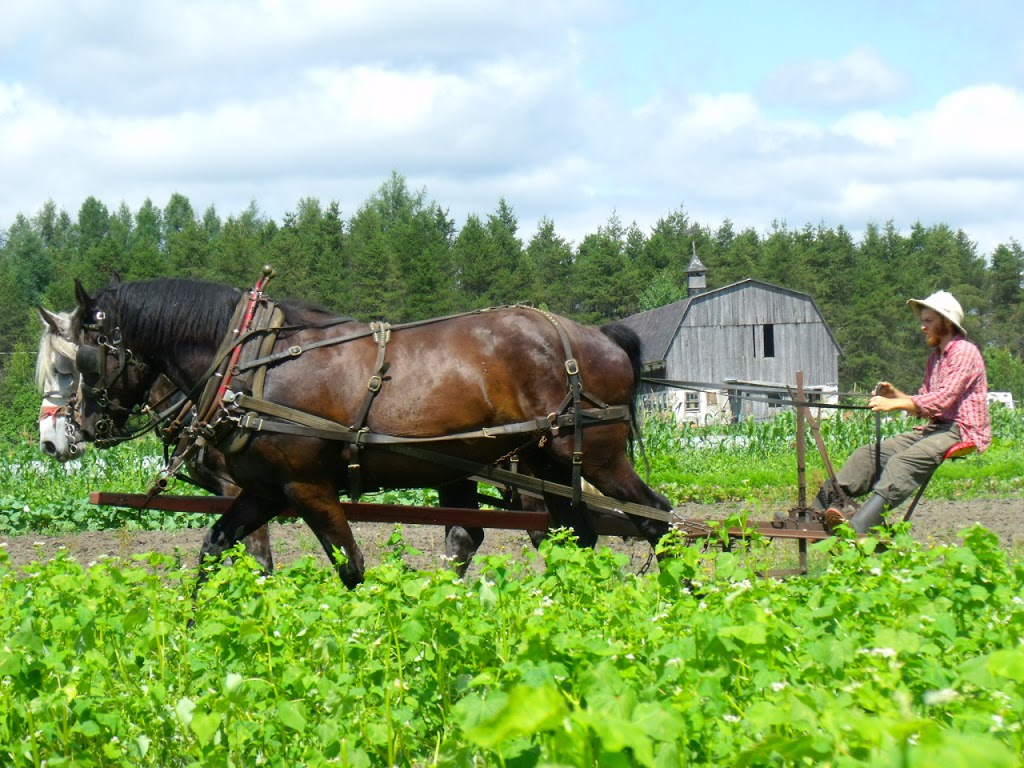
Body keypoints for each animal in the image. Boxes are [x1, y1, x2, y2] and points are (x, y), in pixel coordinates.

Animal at [70, 276, 663, 581]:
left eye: (83, 357)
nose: (80, 425)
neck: (254, 365)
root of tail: (600, 336)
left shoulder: (308, 486)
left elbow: (351, 566)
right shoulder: (264, 489)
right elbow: (215, 548)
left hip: (597, 456)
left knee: (654, 516)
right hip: (546, 461)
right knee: (573, 535)